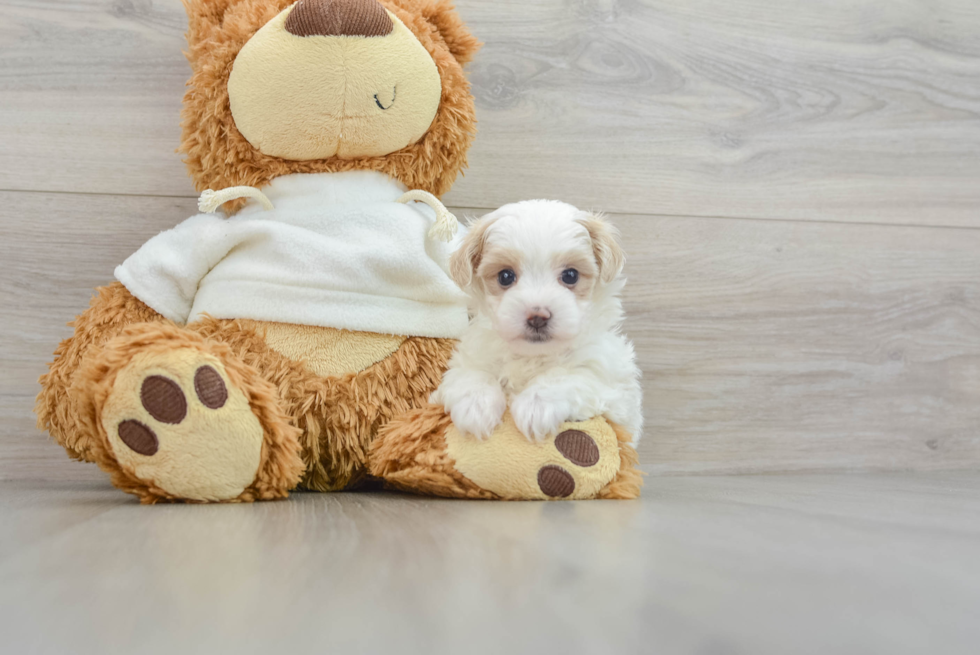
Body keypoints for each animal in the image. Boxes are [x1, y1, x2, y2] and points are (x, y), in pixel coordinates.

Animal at [434, 201, 648, 446]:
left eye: (571, 275)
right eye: (505, 276)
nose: (537, 316)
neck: (532, 356)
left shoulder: (614, 387)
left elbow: (572, 374)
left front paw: (536, 405)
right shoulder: (471, 355)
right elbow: (471, 372)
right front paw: (476, 406)